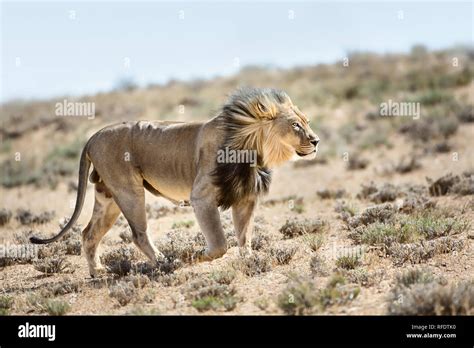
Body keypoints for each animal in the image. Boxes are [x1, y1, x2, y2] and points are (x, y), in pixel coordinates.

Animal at [29, 87, 318, 278]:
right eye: (295, 125)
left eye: (307, 121)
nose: (315, 141)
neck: (252, 149)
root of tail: (93, 136)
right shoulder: (201, 197)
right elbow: (220, 243)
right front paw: (197, 255)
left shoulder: (245, 198)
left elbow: (244, 236)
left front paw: (250, 261)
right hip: (129, 191)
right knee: (138, 234)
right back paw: (165, 261)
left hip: (108, 197)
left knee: (88, 233)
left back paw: (97, 271)